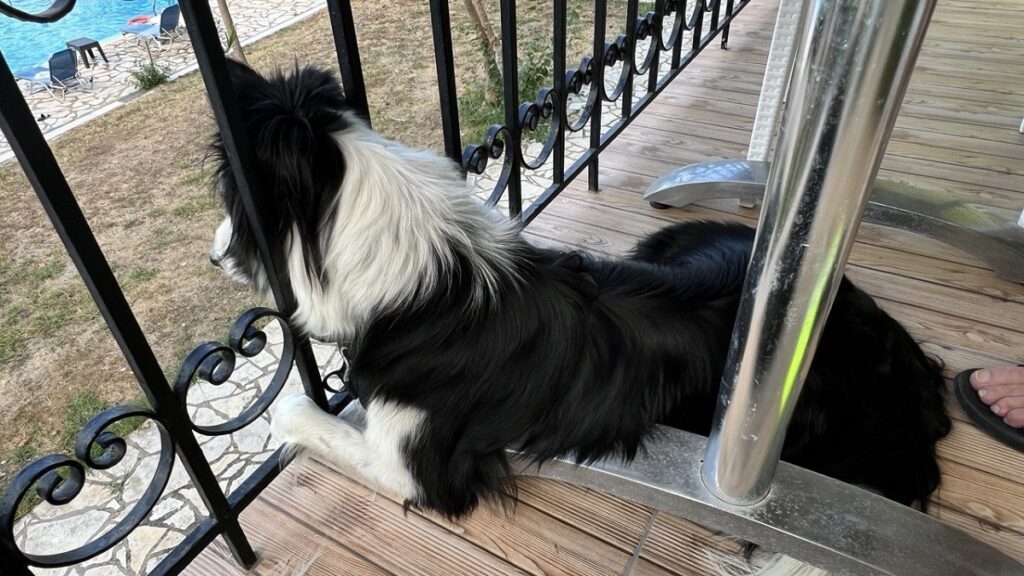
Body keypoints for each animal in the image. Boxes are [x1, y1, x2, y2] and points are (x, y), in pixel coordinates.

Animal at [207, 62, 950, 516]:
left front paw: (292, 411)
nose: (214, 257)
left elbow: (303, 417)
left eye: (234, 211)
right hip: (671, 242)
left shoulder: (416, 464)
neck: (425, 279)